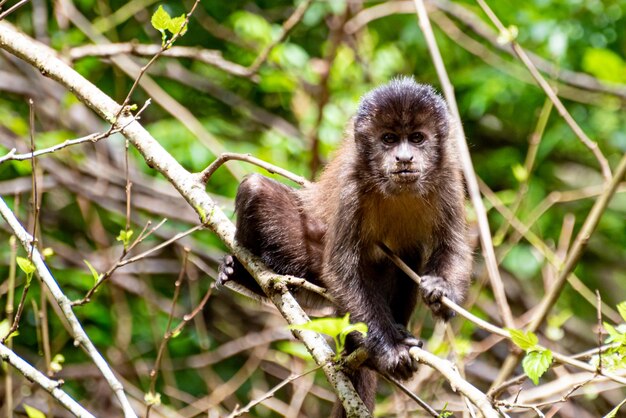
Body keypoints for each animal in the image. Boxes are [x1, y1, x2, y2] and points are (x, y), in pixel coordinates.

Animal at [218, 76, 468, 416]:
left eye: (417, 138)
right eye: (389, 139)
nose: (404, 157)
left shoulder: (449, 175)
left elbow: (453, 246)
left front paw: (441, 293)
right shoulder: (352, 184)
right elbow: (340, 269)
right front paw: (389, 350)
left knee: (410, 253)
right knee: (255, 189)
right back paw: (244, 276)